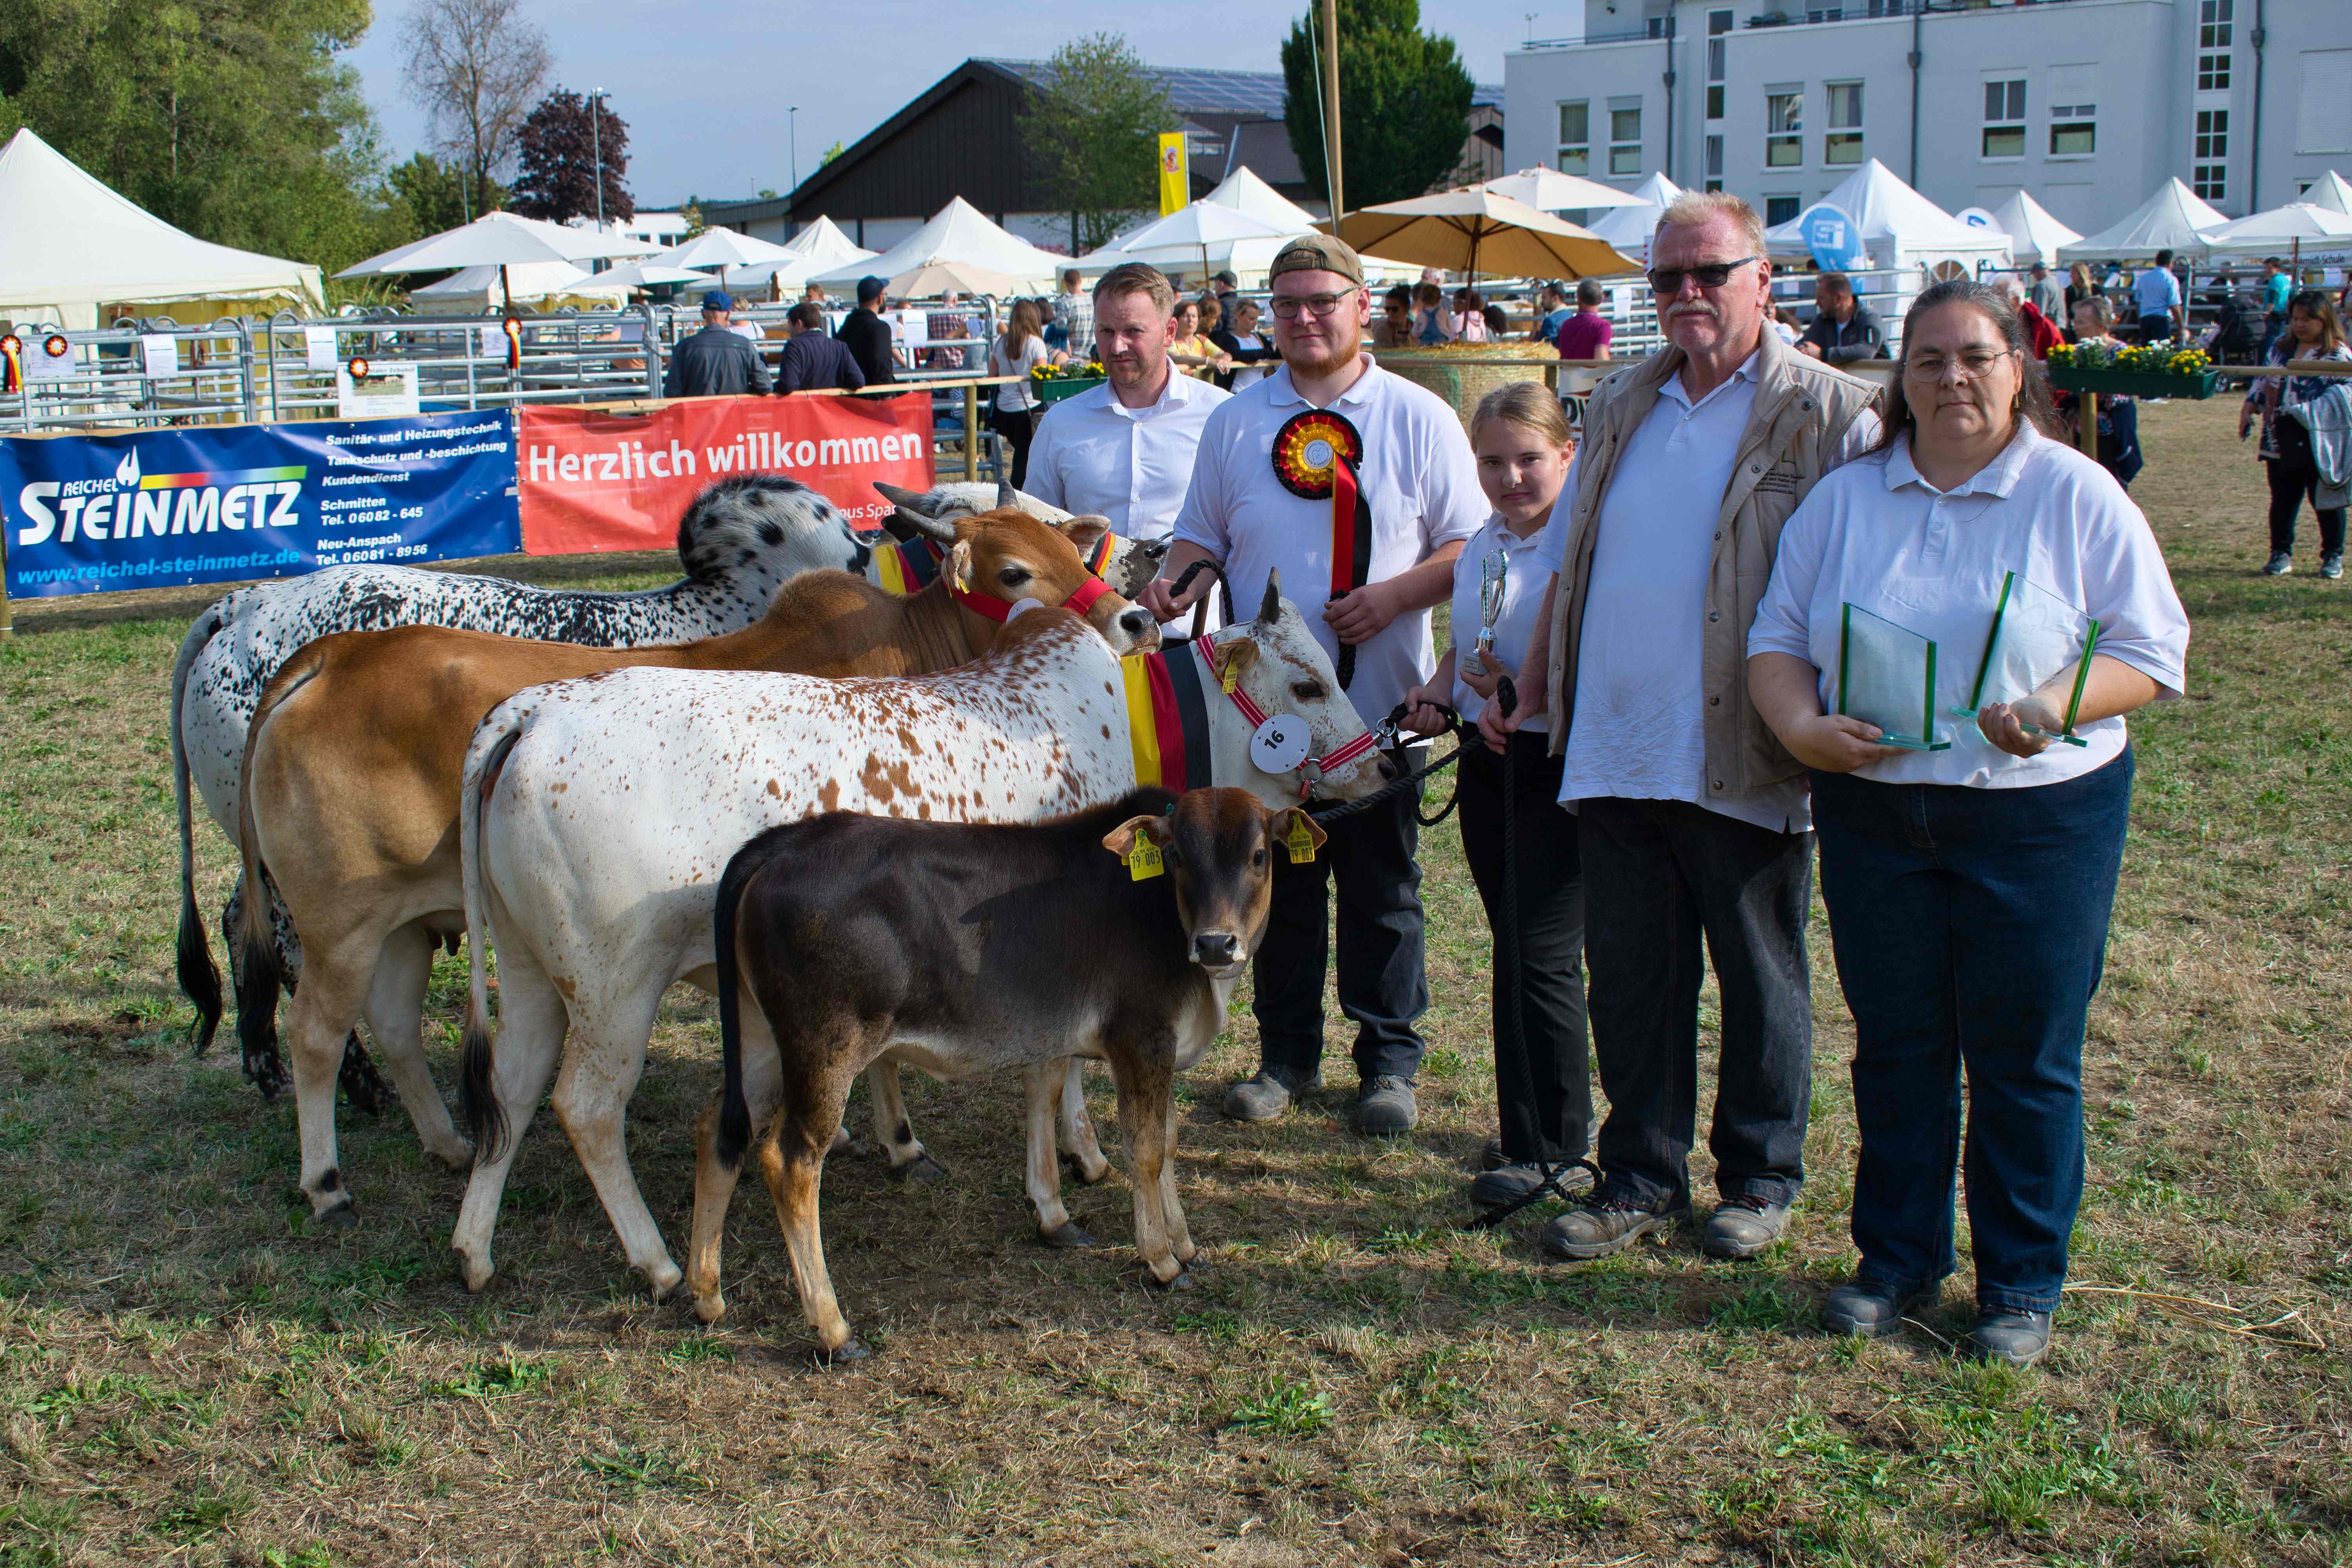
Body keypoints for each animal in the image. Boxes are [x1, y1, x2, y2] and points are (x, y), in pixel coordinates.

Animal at [232, 509, 1153, 1229]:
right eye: (1013, 569)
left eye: (1073, 551)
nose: (1132, 619)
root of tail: (329, 656)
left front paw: (893, 1139)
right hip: (362, 932)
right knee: (324, 1039)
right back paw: (332, 1184)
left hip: (420, 933)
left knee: (415, 1038)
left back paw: (456, 1161)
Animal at [449, 578, 1386, 1299]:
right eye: (1308, 684)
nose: (1384, 764)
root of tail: (535, 711)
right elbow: (1076, 1089)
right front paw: (1089, 1168)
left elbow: (1042, 1075)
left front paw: (1042, 1188)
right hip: (615, 989)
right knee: (587, 1108)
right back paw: (661, 1263)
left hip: (534, 972)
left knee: (513, 1088)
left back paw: (474, 1249)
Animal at [693, 786, 1324, 1359]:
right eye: (1177, 857)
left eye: (1259, 856)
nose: (1217, 943)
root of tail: (784, 844)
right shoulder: (1141, 1038)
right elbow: (1145, 1150)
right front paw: (1162, 1259)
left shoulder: (1130, 1047)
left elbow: (1161, 1139)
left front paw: (1178, 1243)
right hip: (826, 1046)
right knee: (791, 1160)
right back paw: (833, 1329)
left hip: (761, 1038)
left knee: (719, 1123)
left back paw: (706, 1294)